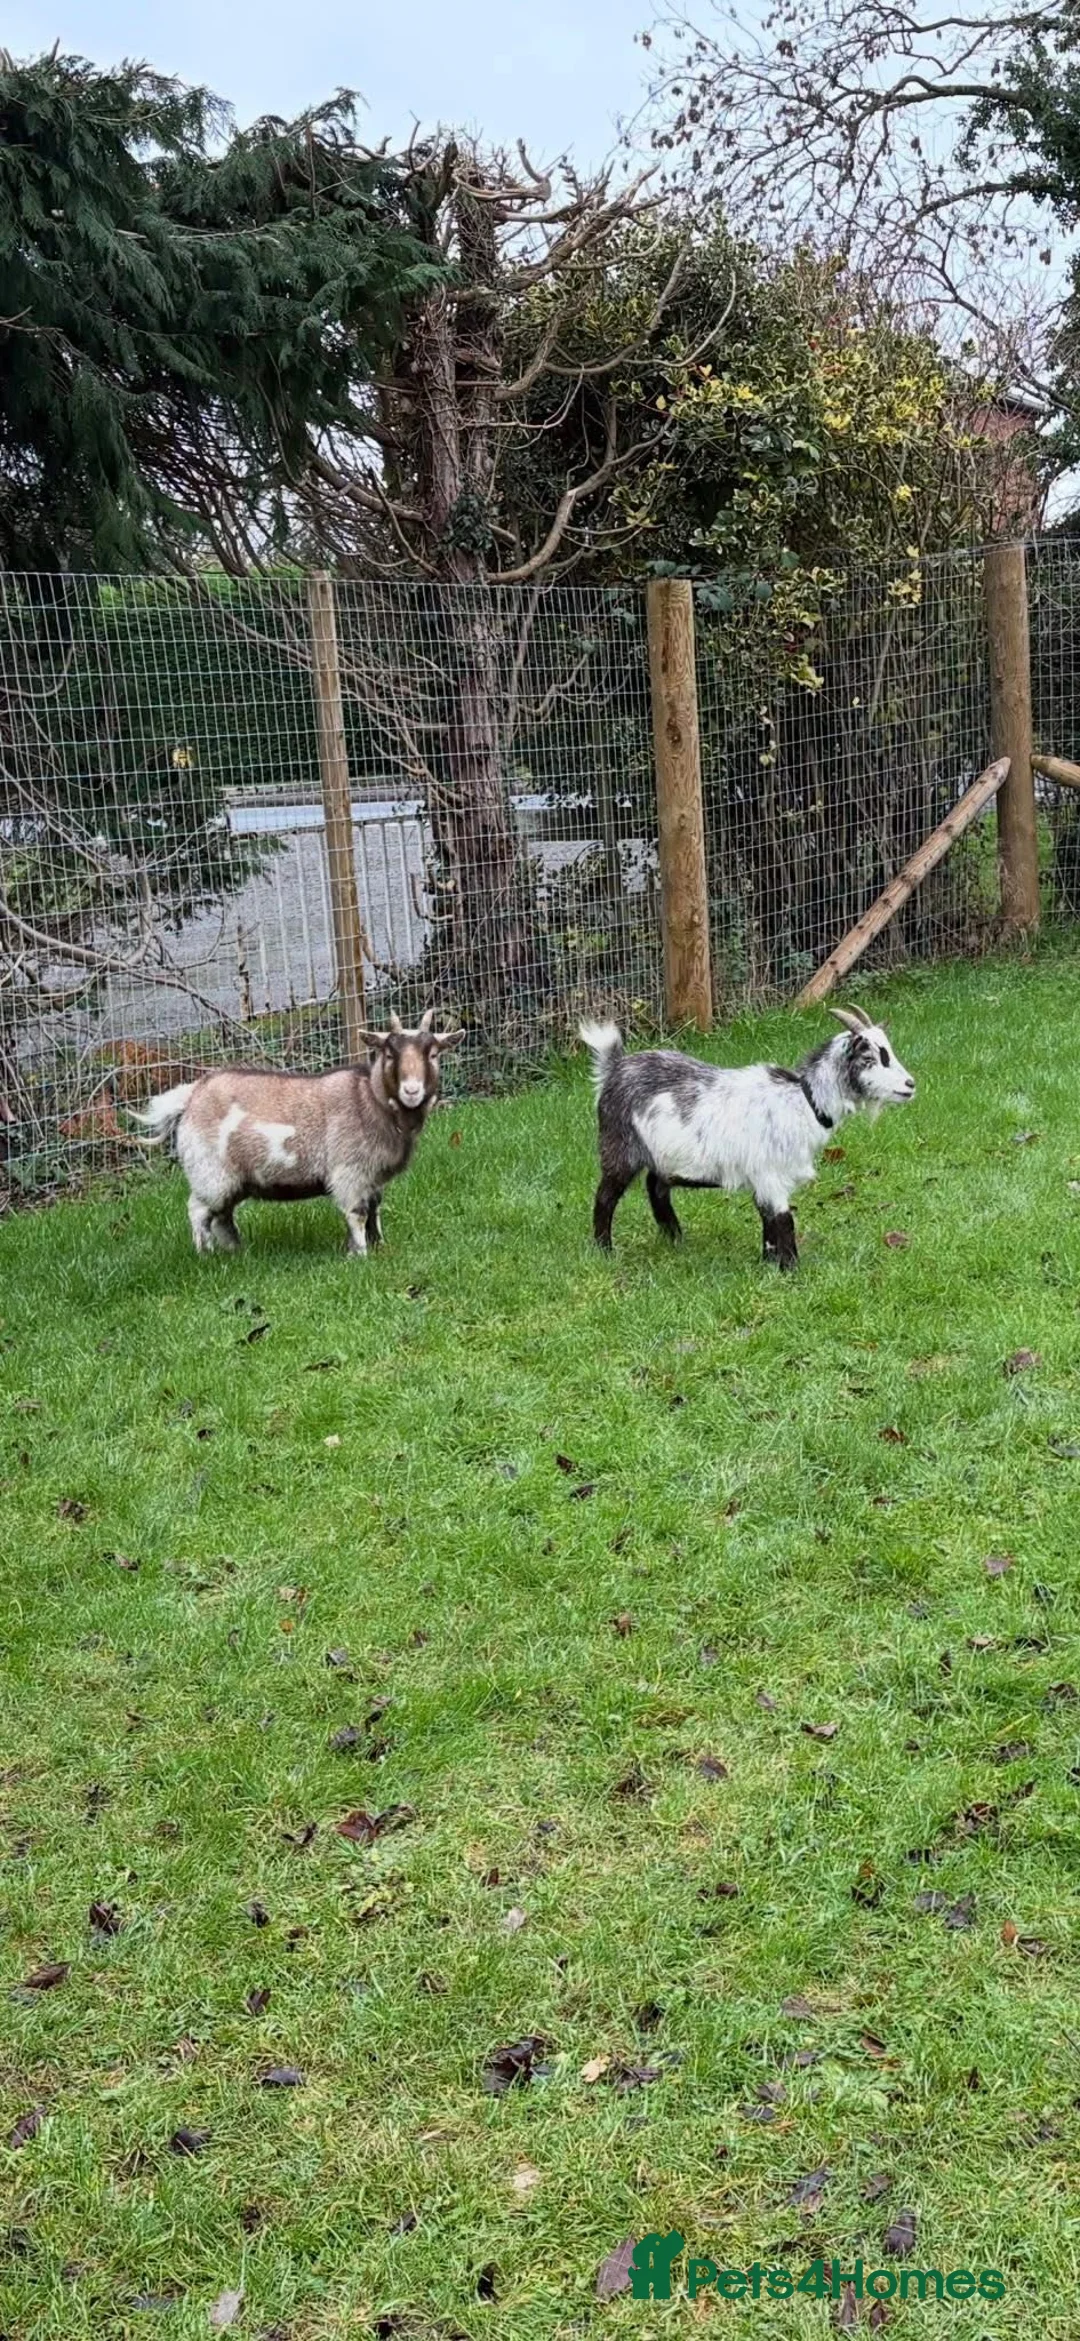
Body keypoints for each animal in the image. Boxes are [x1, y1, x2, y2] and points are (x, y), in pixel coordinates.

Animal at [132, 1011, 463, 1256]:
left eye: (433, 1054)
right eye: (390, 1054)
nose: (411, 1090)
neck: (369, 1099)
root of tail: (191, 1096)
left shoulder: (371, 1177)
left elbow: (374, 1209)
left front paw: (379, 1245)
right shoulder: (350, 1171)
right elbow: (357, 1213)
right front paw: (359, 1254)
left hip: (232, 1179)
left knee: (223, 1216)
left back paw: (237, 1252)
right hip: (210, 1173)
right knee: (199, 1211)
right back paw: (206, 1254)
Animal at [580, 1005, 915, 1270]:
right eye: (872, 1058)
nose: (910, 1085)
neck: (804, 1101)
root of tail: (614, 1069)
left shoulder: (763, 1180)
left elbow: (768, 1221)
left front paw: (768, 1264)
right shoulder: (770, 1175)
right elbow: (783, 1221)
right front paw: (791, 1270)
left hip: (663, 1157)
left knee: (656, 1187)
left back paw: (675, 1239)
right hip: (620, 1146)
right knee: (606, 1197)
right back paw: (605, 1251)